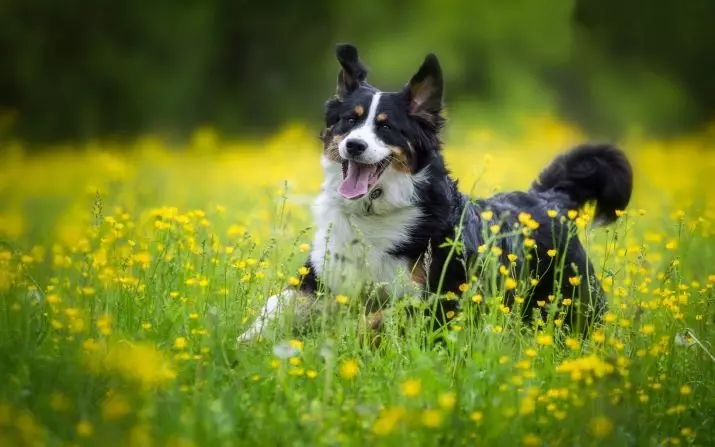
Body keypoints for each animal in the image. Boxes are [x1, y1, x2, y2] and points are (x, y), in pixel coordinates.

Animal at [238, 43, 636, 344]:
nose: (354, 145)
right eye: (349, 121)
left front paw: (330, 343)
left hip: (575, 302)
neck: (374, 214)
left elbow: (374, 320)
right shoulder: (321, 278)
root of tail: (550, 197)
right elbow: (278, 303)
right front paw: (248, 341)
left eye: (386, 127)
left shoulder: (436, 300)